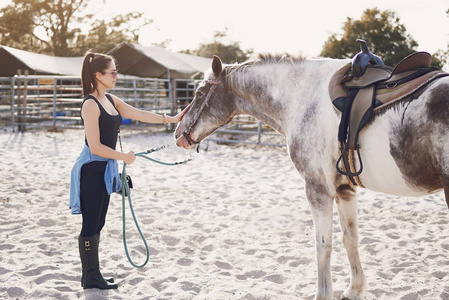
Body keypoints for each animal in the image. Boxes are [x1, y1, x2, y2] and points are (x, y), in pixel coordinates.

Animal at [173, 54, 446, 300]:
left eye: (199, 94)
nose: (178, 133)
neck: (303, 97)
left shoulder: (317, 189)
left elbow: (323, 245)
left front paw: (324, 294)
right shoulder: (344, 189)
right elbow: (350, 239)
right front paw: (354, 290)